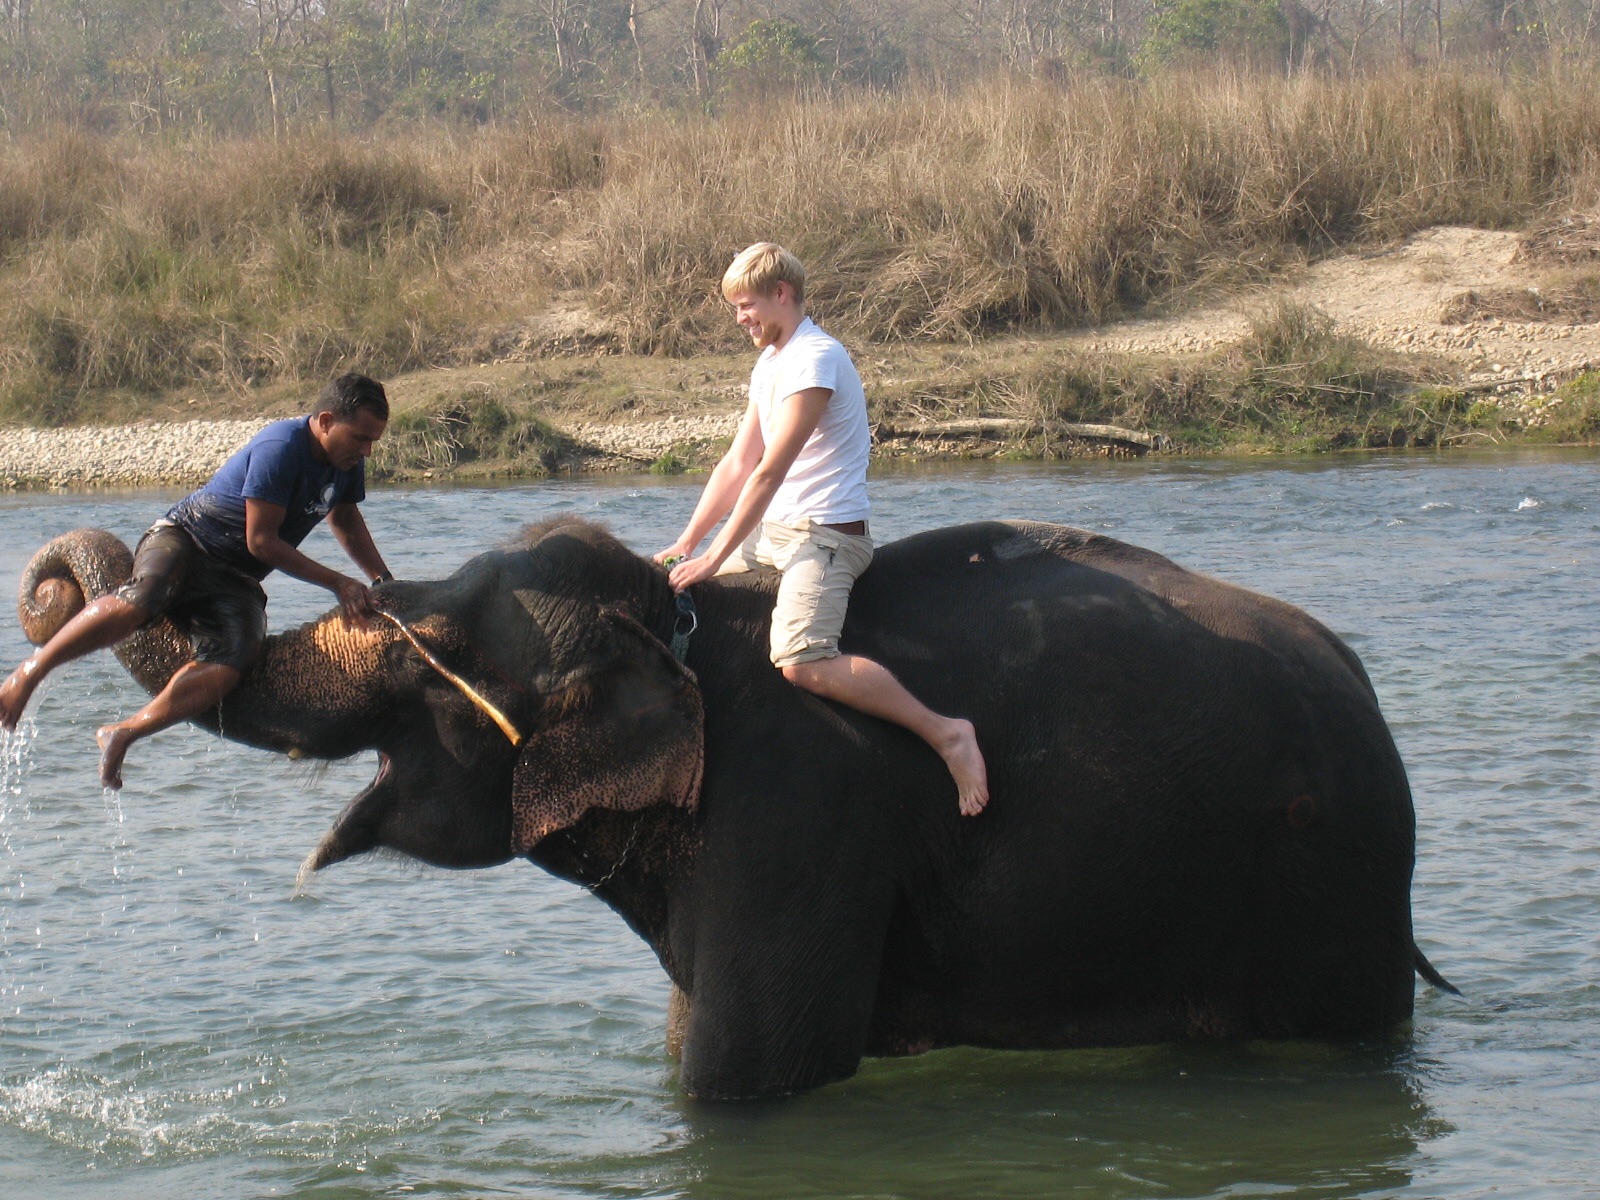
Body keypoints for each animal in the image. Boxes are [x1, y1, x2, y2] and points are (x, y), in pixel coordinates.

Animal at [15, 518, 1465, 1100]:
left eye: (430, 646)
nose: (46, 587)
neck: (680, 636)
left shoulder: (799, 825)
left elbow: (746, 1081)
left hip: (1326, 892)